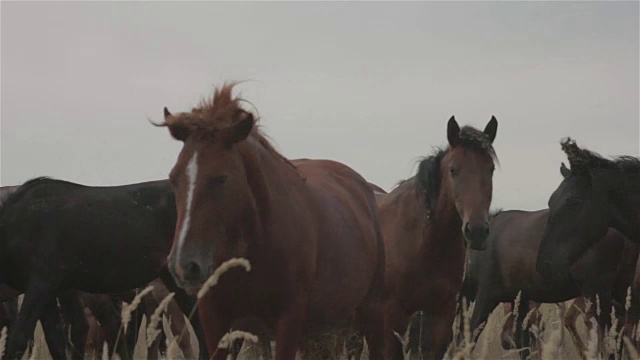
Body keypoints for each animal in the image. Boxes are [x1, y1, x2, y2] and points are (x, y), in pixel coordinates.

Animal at [153, 83, 388, 360]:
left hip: (366, 314)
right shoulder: (215, 321)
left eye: (221, 178)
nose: (183, 266)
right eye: (174, 178)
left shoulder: (288, 322)